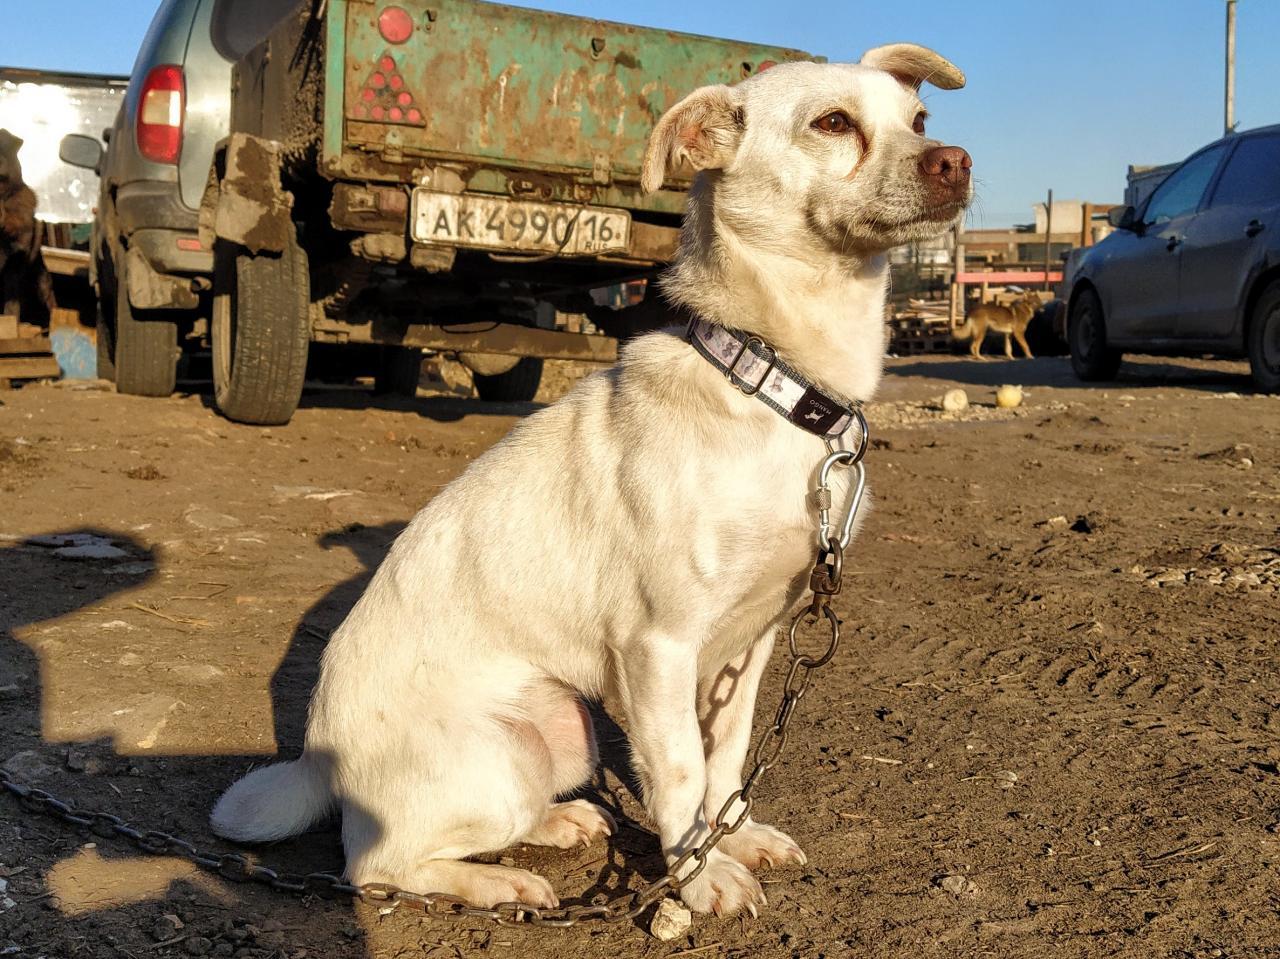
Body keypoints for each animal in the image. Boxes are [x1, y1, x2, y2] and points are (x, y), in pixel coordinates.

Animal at [209, 42, 967, 911]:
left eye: (919, 120)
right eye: (834, 123)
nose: (957, 161)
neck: (772, 383)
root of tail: (315, 761)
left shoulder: (753, 642)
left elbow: (727, 758)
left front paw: (735, 833)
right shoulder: (658, 647)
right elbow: (680, 770)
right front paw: (697, 875)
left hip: (566, 731)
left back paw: (561, 822)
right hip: (507, 756)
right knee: (374, 864)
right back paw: (499, 882)